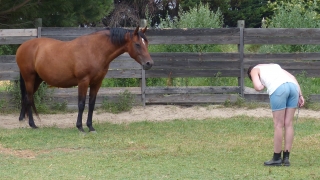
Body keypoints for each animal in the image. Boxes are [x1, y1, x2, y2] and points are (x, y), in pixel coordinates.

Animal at [16, 26, 154, 131]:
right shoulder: (83, 81)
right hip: (29, 79)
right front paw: (80, 127)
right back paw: (32, 124)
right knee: (29, 98)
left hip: (37, 80)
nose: (149, 63)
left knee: (27, 98)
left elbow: (91, 104)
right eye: (137, 44)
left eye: (146, 43)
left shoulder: (96, 83)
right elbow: (81, 104)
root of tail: (22, 46)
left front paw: (90, 126)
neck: (94, 50)